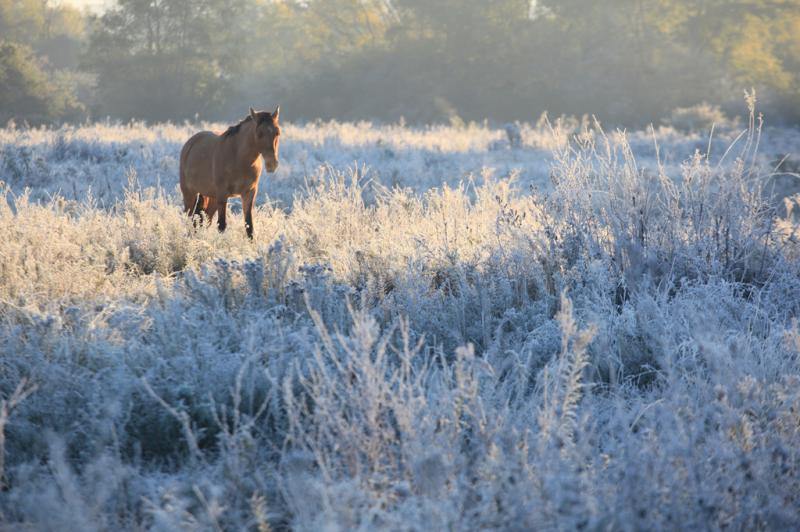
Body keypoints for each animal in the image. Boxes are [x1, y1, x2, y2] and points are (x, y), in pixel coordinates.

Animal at [179, 106, 282, 239]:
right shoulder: (223, 194)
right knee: (189, 218)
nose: (272, 164)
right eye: (259, 133)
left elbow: (249, 226)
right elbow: (221, 225)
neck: (239, 158)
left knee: (203, 220)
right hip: (190, 194)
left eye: (277, 132)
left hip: (212, 197)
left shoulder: (249, 193)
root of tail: (190, 143)